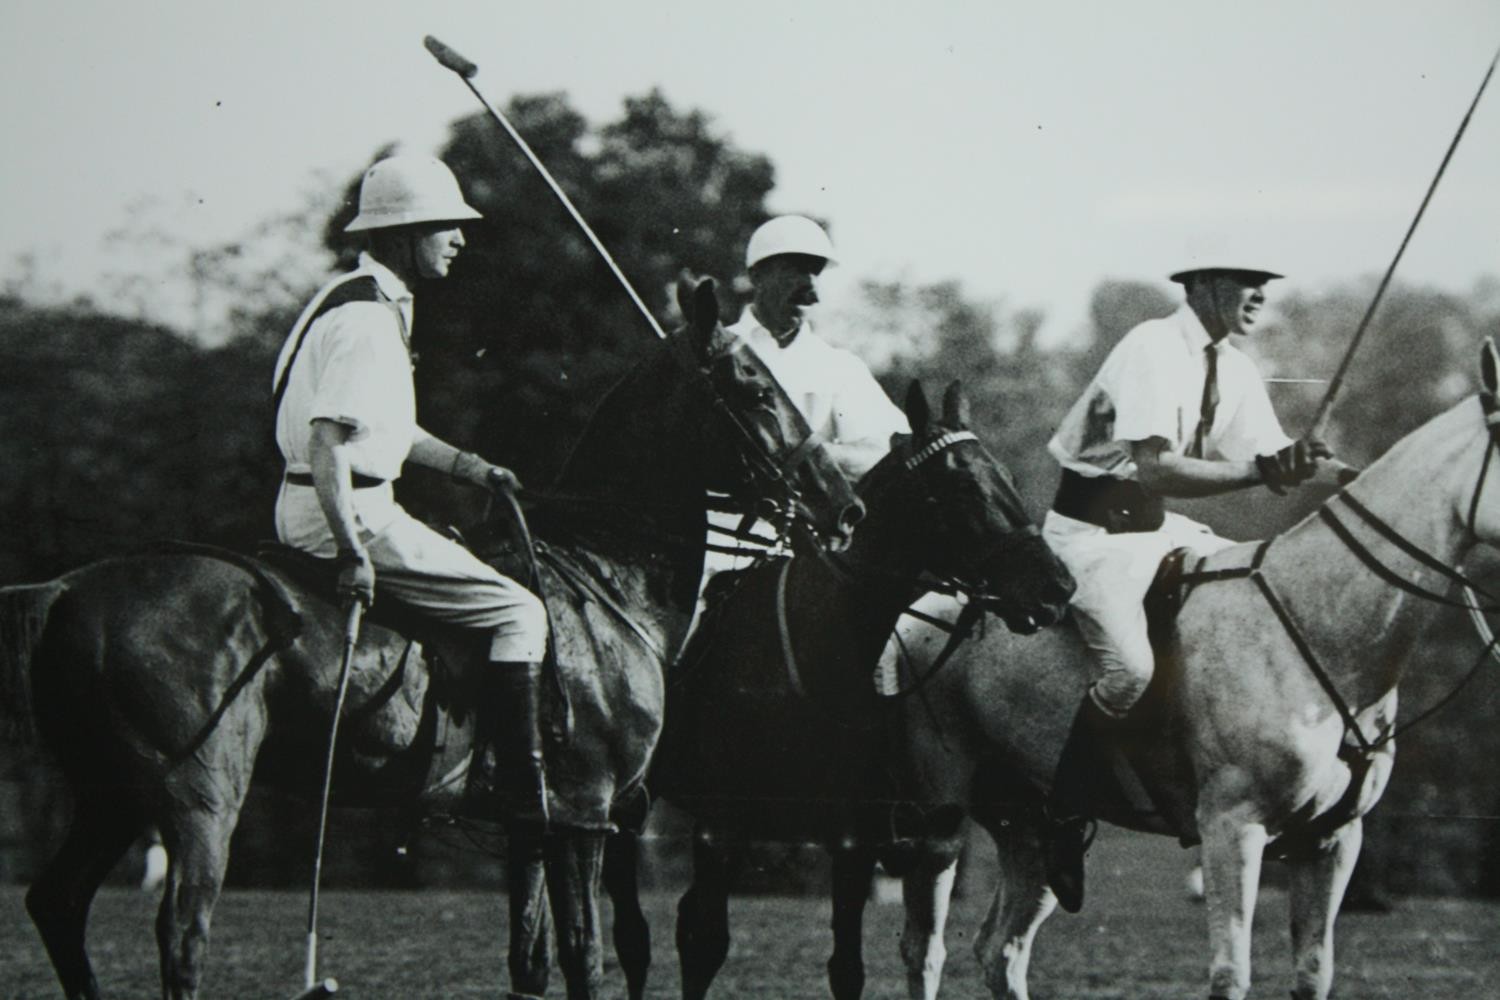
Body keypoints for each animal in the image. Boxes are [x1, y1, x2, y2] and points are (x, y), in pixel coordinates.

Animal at [0, 274, 864, 1000]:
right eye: (757, 389)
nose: (843, 504)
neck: (603, 572)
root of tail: (66, 587)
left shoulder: (530, 824)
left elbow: (530, 960)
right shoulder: (583, 812)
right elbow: (585, 958)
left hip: (109, 790)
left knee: (57, 902)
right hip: (198, 793)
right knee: (181, 930)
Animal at [597, 380, 1080, 1000]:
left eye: (1010, 479)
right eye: (961, 488)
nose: (1056, 589)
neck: (812, 647)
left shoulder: (852, 839)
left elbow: (846, 966)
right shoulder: (719, 827)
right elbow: (703, 944)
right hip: (628, 802)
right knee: (631, 933)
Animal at [876, 340, 1500, 995]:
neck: (1323, 627)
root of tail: (926, 608)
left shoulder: (1331, 839)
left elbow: (1313, 971)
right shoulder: (1232, 825)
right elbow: (1231, 972)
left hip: (1028, 821)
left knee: (1002, 948)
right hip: (939, 814)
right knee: (925, 948)